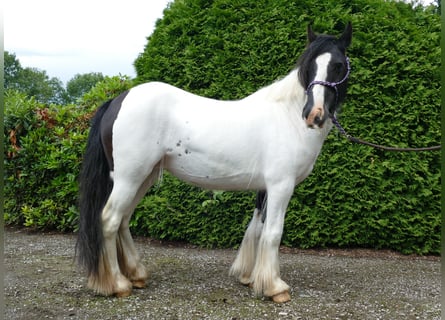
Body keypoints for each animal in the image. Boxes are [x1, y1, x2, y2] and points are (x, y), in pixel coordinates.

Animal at [78, 23, 352, 302]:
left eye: (339, 65)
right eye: (308, 66)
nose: (314, 115)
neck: (287, 116)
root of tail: (118, 100)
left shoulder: (265, 187)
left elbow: (257, 227)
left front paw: (249, 277)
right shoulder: (281, 186)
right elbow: (273, 233)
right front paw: (275, 287)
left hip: (143, 178)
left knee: (123, 220)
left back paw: (136, 275)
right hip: (129, 178)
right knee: (109, 220)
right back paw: (118, 284)